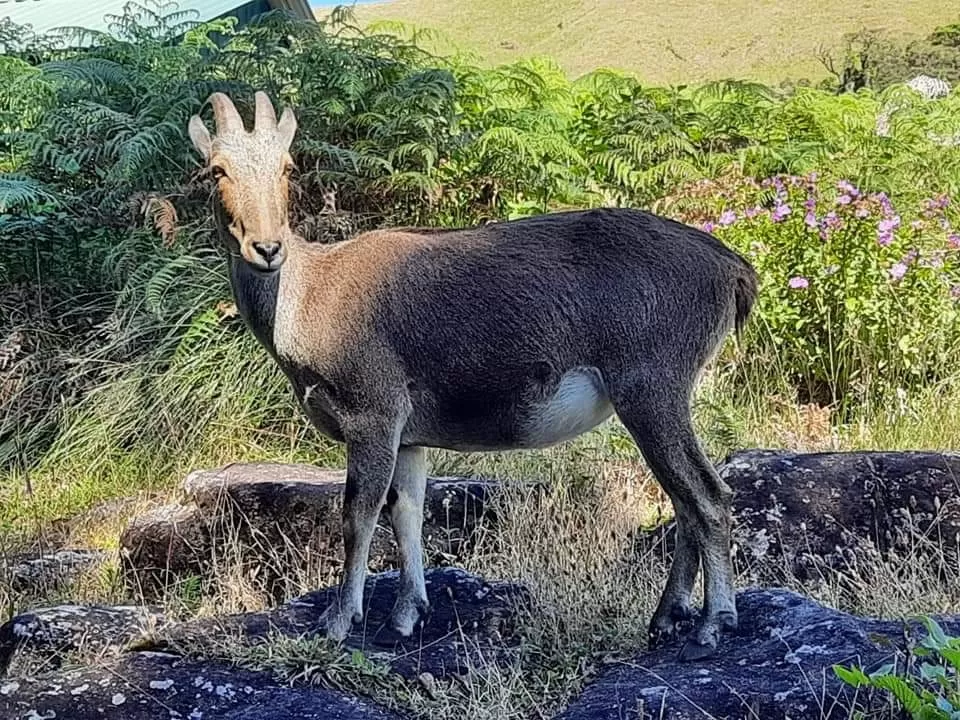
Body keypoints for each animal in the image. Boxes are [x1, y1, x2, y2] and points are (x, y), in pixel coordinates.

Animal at [186, 93, 756, 660]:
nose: (267, 248)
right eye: (217, 169)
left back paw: (713, 622)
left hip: (651, 385)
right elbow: (407, 510)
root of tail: (732, 269)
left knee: (708, 496)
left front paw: (338, 620)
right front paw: (406, 614)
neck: (307, 298)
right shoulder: (409, 434)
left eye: (287, 166)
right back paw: (665, 617)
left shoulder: (374, 410)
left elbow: (358, 513)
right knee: (683, 499)